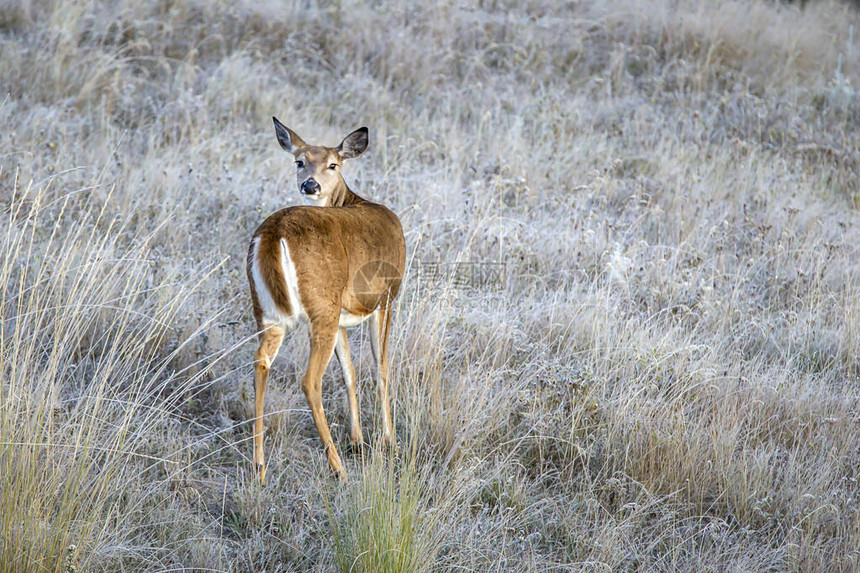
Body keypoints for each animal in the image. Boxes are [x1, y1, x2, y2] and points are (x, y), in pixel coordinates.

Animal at [245, 116, 406, 482]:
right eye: (299, 161)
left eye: (333, 164)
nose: (310, 185)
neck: (352, 200)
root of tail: (273, 234)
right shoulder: (386, 298)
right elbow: (381, 368)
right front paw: (387, 442)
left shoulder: (345, 314)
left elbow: (349, 372)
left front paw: (358, 441)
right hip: (321, 308)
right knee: (310, 381)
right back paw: (338, 469)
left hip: (269, 311)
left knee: (260, 363)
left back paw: (259, 466)